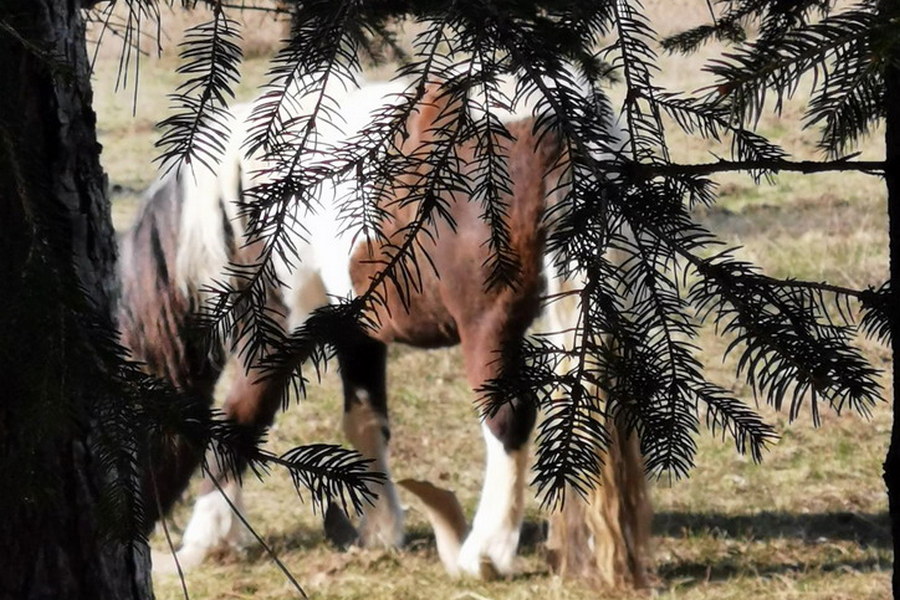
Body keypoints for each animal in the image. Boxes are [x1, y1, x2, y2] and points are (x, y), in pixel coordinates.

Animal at [119, 76, 652, 580]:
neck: (247, 190)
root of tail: (556, 126)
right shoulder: (355, 328)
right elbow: (365, 420)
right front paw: (379, 530)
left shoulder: (280, 327)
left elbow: (241, 417)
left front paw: (204, 541)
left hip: (489, 324)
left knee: (509, 416)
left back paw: (485, 554)